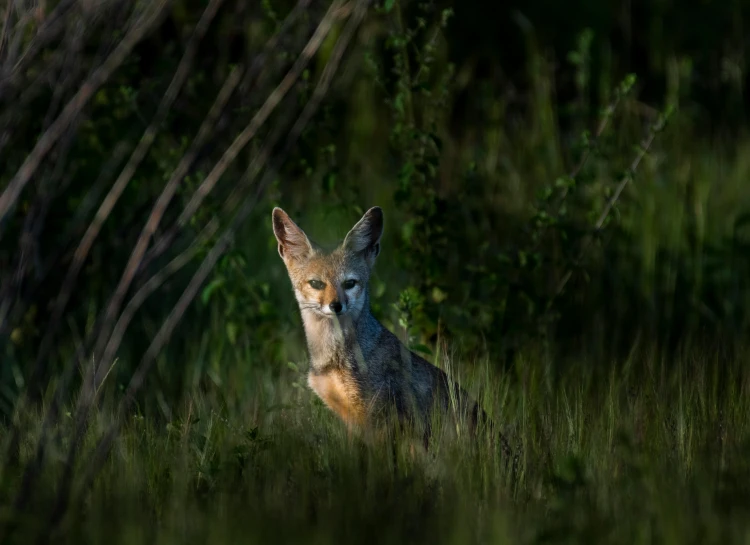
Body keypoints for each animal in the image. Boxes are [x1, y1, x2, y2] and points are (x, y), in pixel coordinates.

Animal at [274, 206, 516, 462]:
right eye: (317, 284)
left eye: (350, 283)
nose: (336, 305)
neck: (333, 356)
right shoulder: (352, 420)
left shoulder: (380, 421)